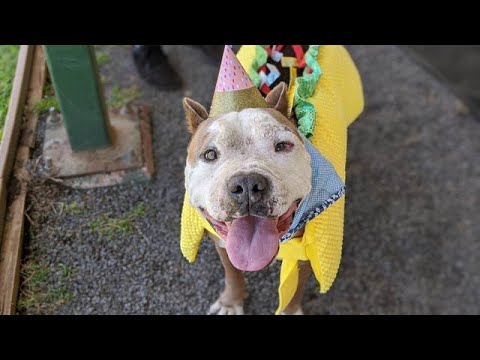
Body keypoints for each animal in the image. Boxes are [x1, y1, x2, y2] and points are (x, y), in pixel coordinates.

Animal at [181, 45, 364, 316]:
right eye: (210, 154)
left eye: (282, 146)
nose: (247, 184)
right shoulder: (222, 241)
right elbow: (231, 273)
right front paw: (231, 301)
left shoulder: (304, 253)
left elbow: (293, 292)